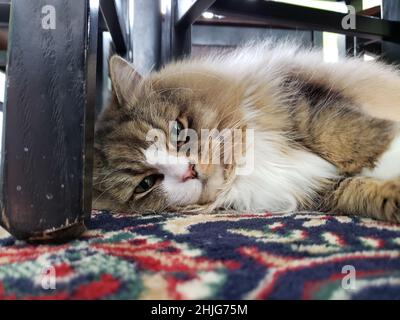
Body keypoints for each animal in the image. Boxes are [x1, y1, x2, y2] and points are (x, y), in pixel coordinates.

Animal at [91, 40, 400, 222]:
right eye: (145, 184)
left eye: (178, 130)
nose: (190, 170)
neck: (243, 169)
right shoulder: (319, 187)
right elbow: (361, 191)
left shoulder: (300, 101)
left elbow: (342, 134)